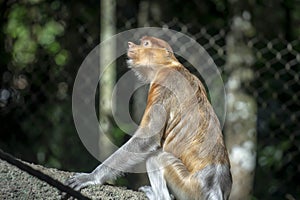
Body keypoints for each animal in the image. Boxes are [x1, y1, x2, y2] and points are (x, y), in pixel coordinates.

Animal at [67, 36, 232, 200]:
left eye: (146, 44)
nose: (131, 45)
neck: (169, 65)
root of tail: (215, 188)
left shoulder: (163, 84)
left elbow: (147, 138)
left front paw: (90, 177)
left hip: (189, 187)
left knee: (156, 158)